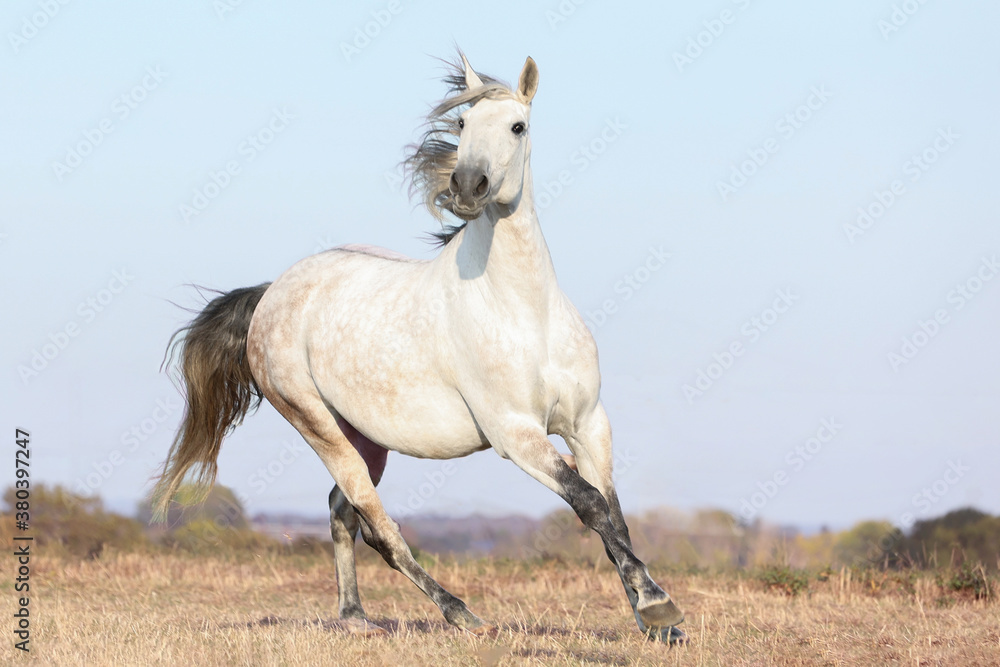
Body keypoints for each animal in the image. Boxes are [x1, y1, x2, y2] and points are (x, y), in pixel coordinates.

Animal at [154, 53, 688, 648]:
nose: (468, 185)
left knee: (342, 511)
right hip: (316, 424)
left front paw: (655, 618)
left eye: (517, 126)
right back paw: (461, 613)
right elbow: (589, 503)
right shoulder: (516, 435)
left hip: (364, 437)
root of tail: (272, 293)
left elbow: (612, 513)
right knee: (378, 526)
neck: (524, 311)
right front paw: (659, 606)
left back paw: (356, 616)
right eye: (462, 124)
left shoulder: (589, 423)